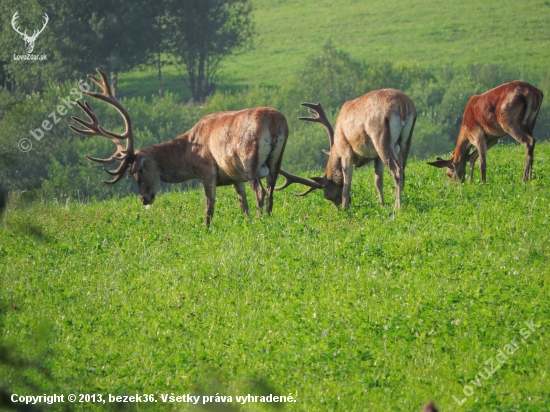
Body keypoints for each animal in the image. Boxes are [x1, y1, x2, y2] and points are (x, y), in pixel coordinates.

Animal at [70, 69, 288, 227]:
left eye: (138, 171)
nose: (144, 199)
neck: (188, 154)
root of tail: (275, 121)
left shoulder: (207, 171)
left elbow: (209, 208)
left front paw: (206, 230)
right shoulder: (234, 176)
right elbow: (243, 205)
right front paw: (247, 223)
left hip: (249, 158)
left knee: (260, 192)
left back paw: (261, 220)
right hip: (276, 160)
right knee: (271, 191)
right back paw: (267, 218)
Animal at [278, 88, 416, 208]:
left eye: (326, 193)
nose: (339, 208)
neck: (336, 146)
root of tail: (403, 104)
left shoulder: (346, 151)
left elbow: (346, 183)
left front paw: (346, 209)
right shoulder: (376, 157)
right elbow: (378, 181)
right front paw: (382, 205)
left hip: (380, 139)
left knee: (396, 170)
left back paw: (397, 208)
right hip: (406, 140)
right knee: (402, 169)